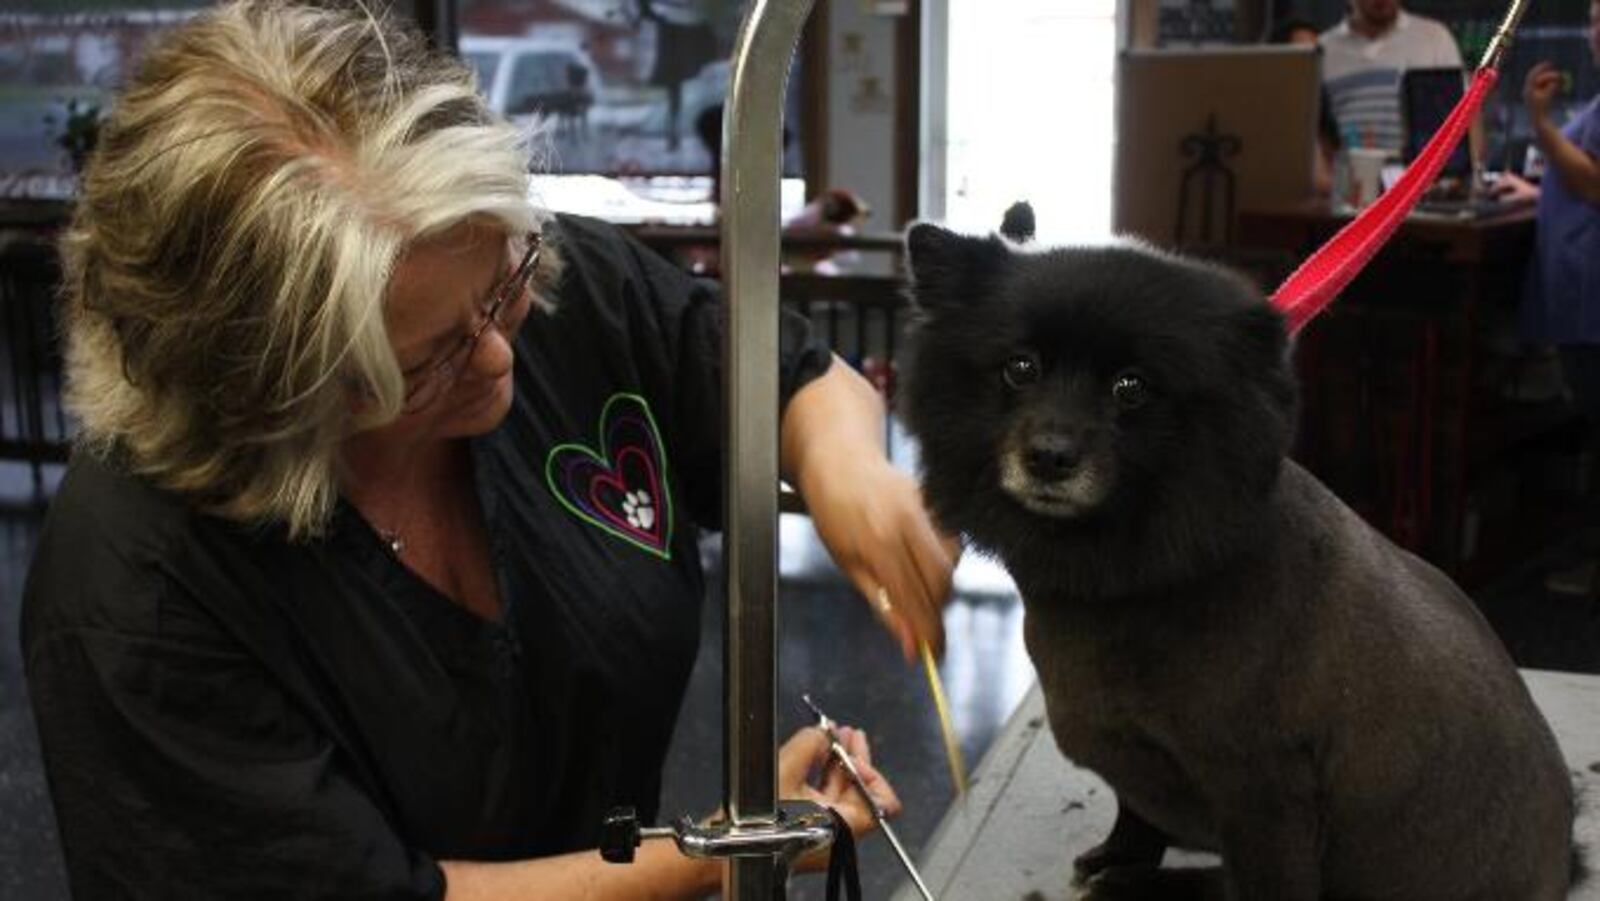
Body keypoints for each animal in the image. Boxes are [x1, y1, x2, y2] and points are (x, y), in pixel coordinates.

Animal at [902, 220, 1574, 901]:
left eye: (1131, 387)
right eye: (1020, 368)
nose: (1050, 456)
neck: (1144, 577)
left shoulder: (1265, 795)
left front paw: (1132, 874)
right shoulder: (1136, 763)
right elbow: (1136, 816)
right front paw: (1122, 857)